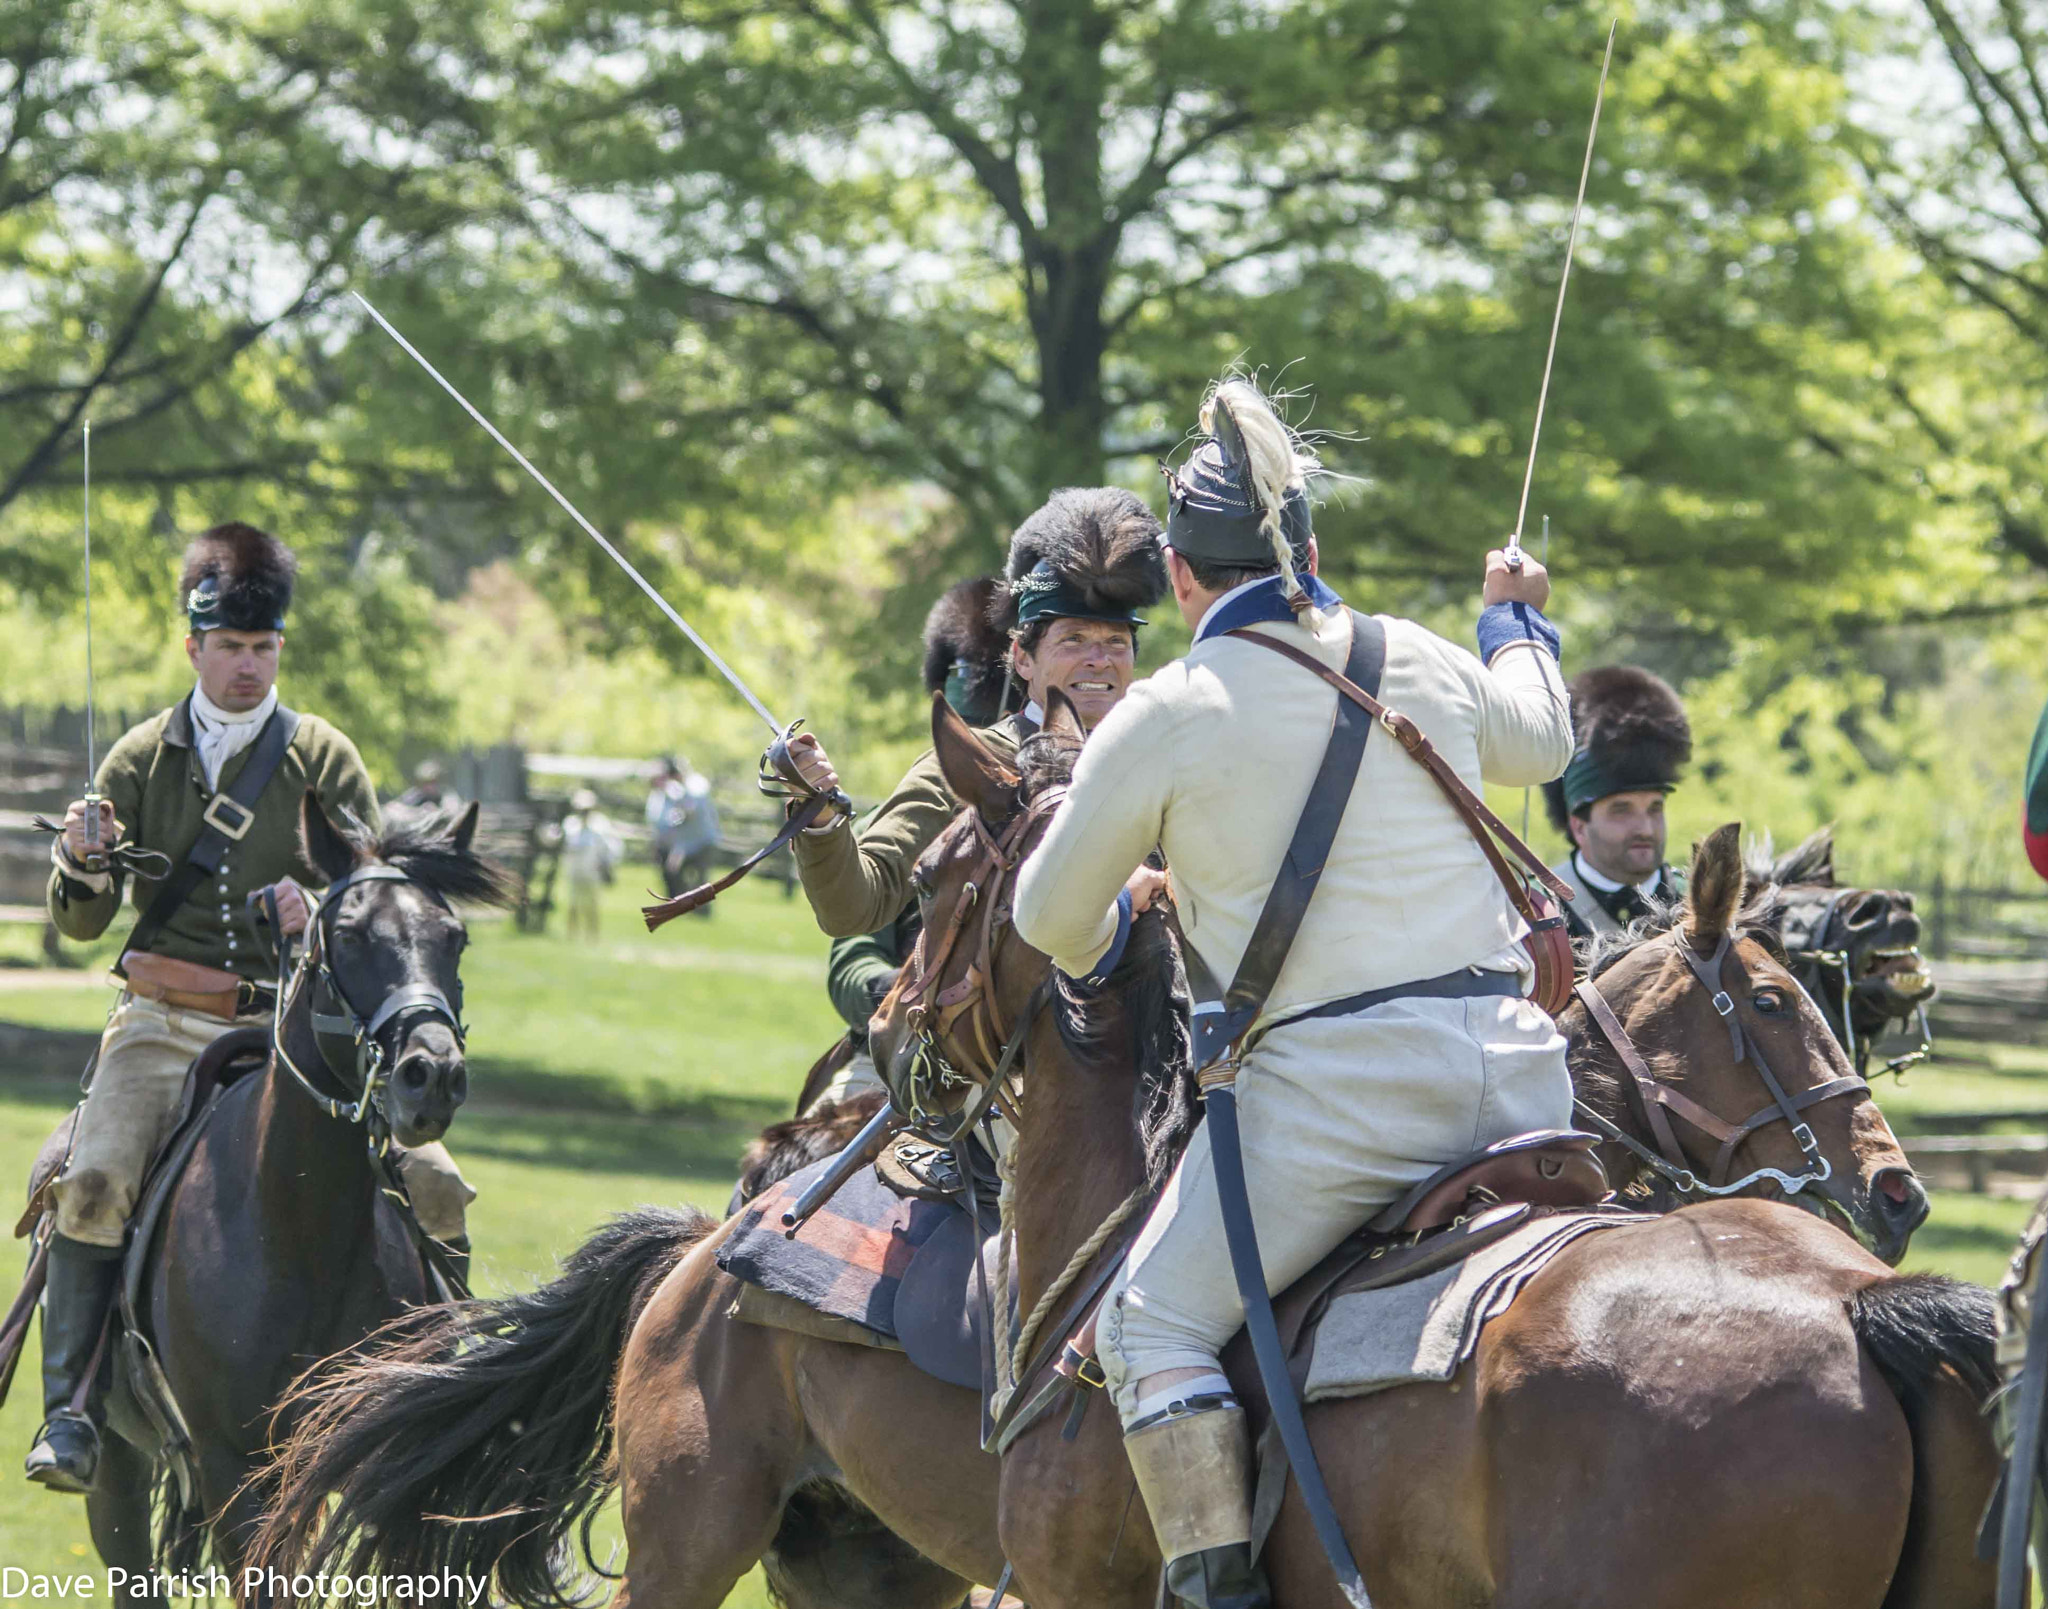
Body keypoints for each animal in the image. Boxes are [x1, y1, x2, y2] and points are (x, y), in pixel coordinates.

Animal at [65, 794, 516, 1588]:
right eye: (349, 934)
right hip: (118, 1467)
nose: (432, 1076)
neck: (301, 1228)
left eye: (454, 938)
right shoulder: (233, 1470)